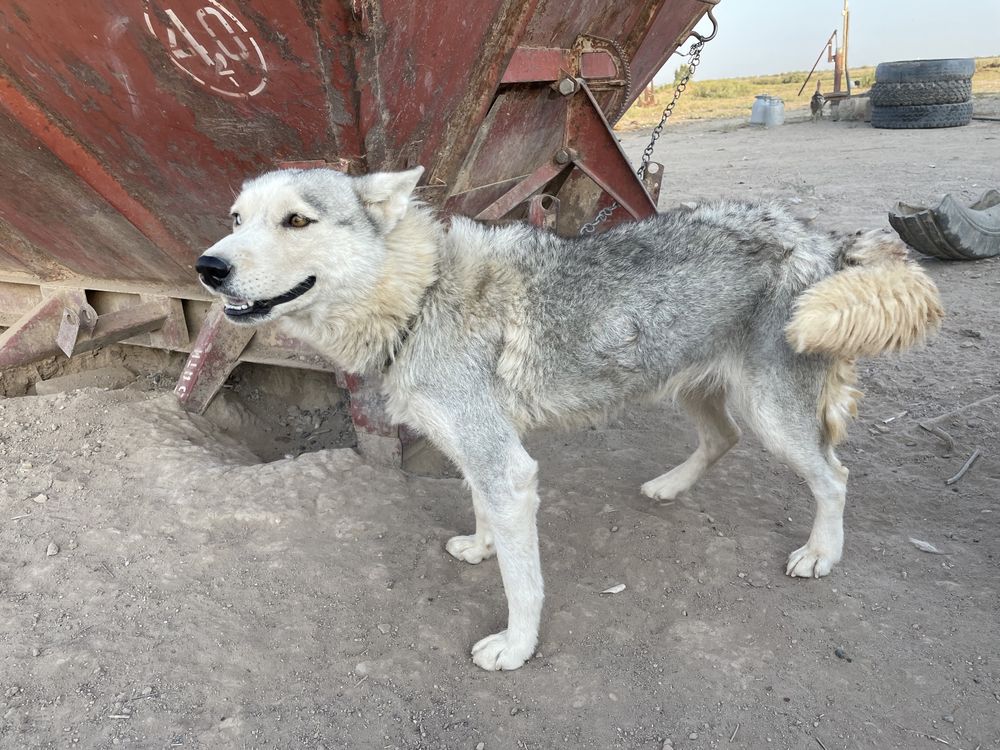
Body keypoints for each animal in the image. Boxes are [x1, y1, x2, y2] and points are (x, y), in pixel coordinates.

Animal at [195, 167, 944, 672]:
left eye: (296, 221)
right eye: (234, 218)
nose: (207, 266)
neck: (420, 294)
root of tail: (823, 239)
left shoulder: (508, 467)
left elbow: (524, 585)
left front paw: (516, 647)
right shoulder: (482, 455)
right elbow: (482, 514)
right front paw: (481, 546)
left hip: (773, 418)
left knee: (834, 476)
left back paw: (821, 553)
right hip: (694, 390)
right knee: (722, 439)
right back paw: (669, 487)